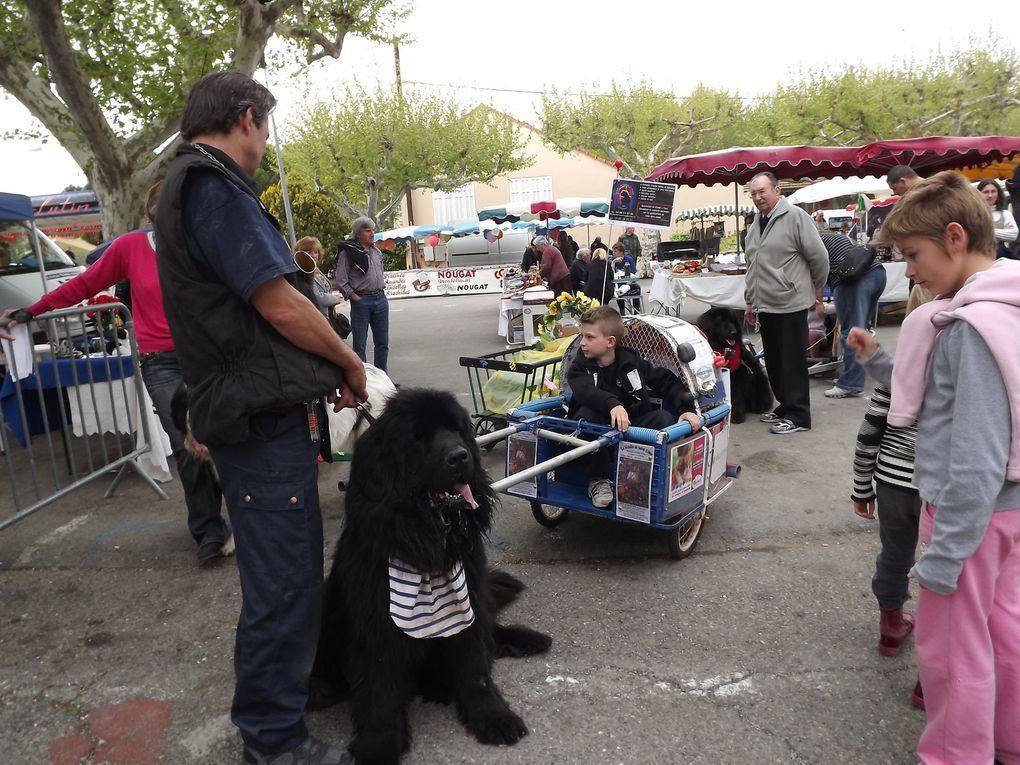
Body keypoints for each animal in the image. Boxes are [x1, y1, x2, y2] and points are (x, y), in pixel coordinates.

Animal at [312, 389, 550, 765]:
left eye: (456, 429)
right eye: (418, 438)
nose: (461, 456)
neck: (425, 540)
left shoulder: (467, 601)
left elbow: (475, 668)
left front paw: (493, 716)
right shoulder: (375, 622)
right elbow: (379, 689)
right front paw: (379, 745)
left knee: (491, 632)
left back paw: (527, 639)